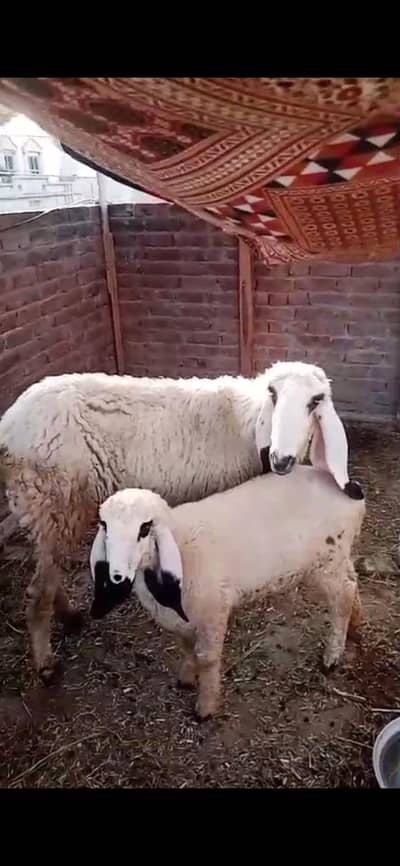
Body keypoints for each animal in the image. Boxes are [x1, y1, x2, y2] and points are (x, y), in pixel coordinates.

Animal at [0, 360, 359, 681]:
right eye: (272, 394)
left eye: (316, 401)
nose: (280, 460)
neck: (244, 422)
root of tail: (10, 425)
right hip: (53, 502)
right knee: (38, 591)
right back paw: (45, 662)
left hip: (50, 512)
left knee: (48, 572)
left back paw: (68, 616)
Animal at [89, 466, 366, 721]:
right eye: (105, 525)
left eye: (145, 528)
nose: (116, 574)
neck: (181, 545)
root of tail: (349, 488)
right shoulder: (183, 619)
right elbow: (186, 648)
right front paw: (186, 677)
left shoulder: (213, 611)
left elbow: (207, 659)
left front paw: (206, 706)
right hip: (338, 557)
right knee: (352, 583)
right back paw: (356, 623)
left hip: (327, 560)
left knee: (343, 596)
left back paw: (332, 655)